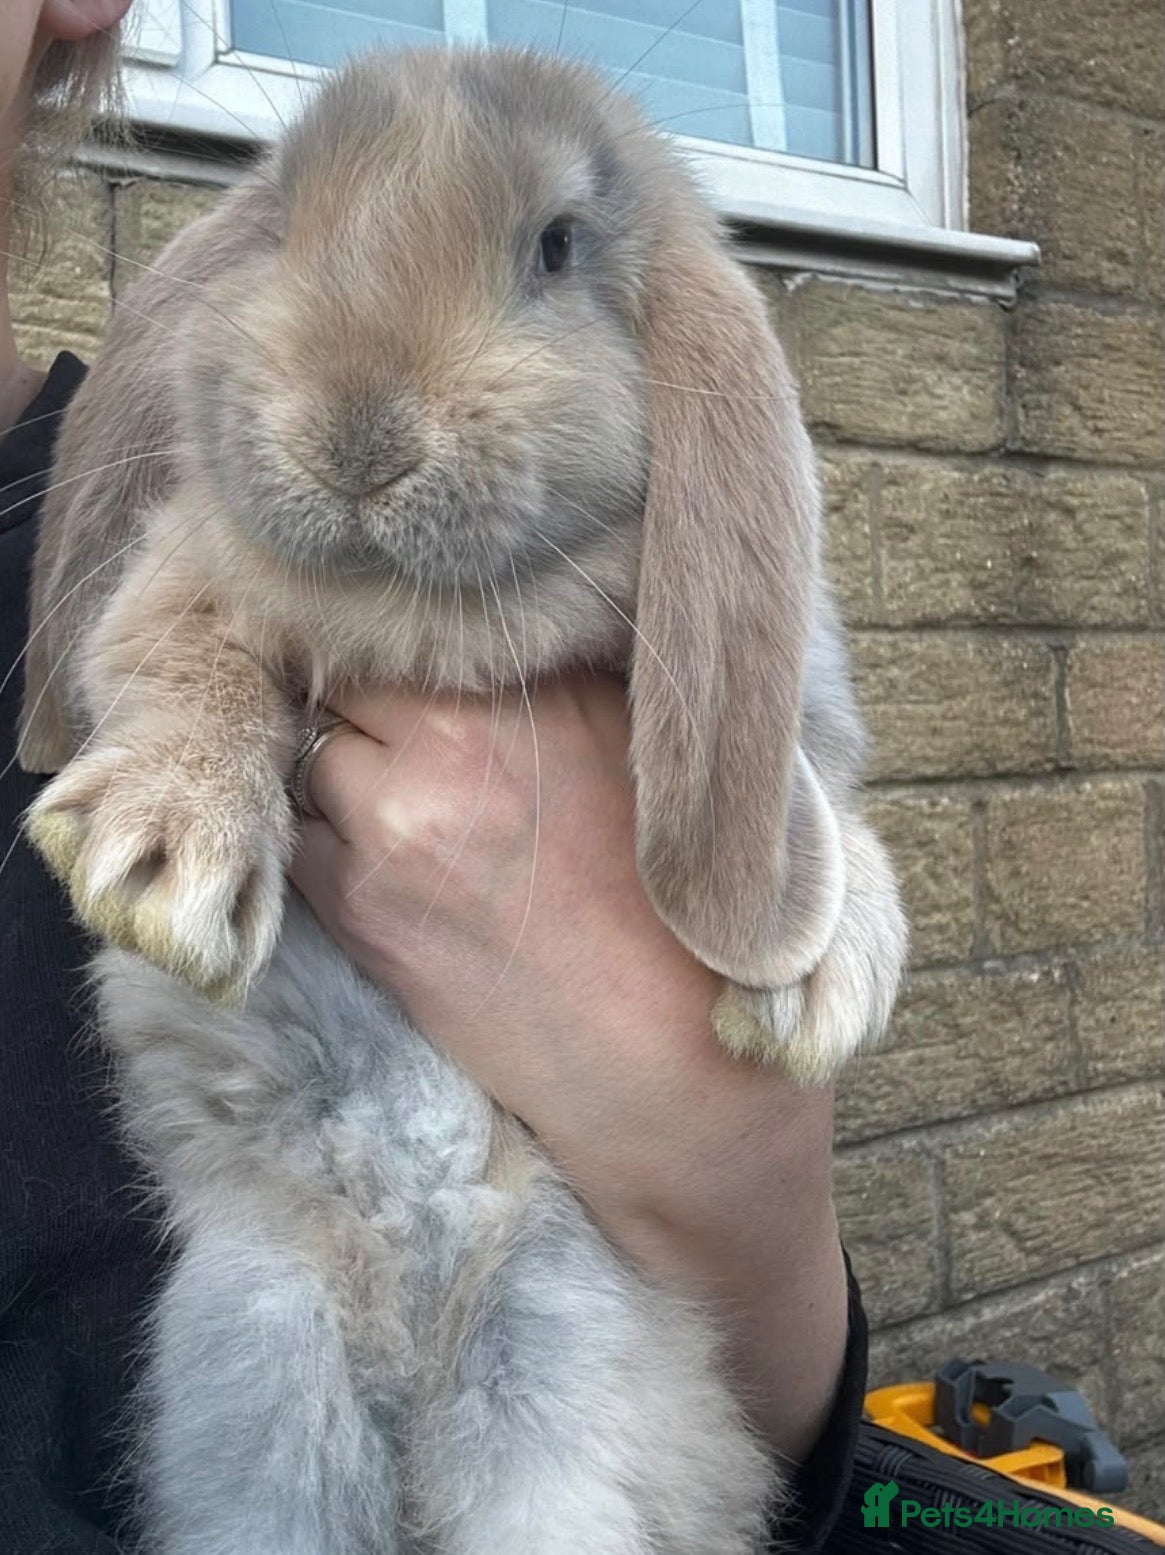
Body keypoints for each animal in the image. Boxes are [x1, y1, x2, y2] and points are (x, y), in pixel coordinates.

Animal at [18, 45, 907, 1555]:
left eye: (553, 246)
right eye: (285, 225)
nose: (355, 432)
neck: (416, 621)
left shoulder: (803, 706)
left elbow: (823, 786)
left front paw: (814, 985)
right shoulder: (172, 581)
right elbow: (183, 662)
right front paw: (160, 858)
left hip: (557, 1380)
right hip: (268, 1384)